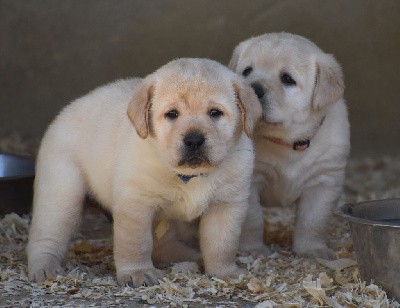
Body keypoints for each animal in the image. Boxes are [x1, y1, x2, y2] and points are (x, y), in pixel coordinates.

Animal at [26, 58, 260, 286]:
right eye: (172, 114)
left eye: (215, 113)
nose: (194, 140)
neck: (189, 176)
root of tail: (66, 111)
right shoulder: (135, 204)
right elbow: (136, 243)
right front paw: (137, 272)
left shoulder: (226, 204)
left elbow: (222, 245)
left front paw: (225, 272)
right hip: (62, 193)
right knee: (47, 235)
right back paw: (44, 268)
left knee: (162, 244)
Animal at [228, 32, 350, 258]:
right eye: (247, 71)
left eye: (287, 79)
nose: (254, 89)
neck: (286, 143)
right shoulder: (249, 181)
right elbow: (251, 219)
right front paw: (253, 249)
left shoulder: (324, 180)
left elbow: (313, 220)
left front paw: (312, 250)